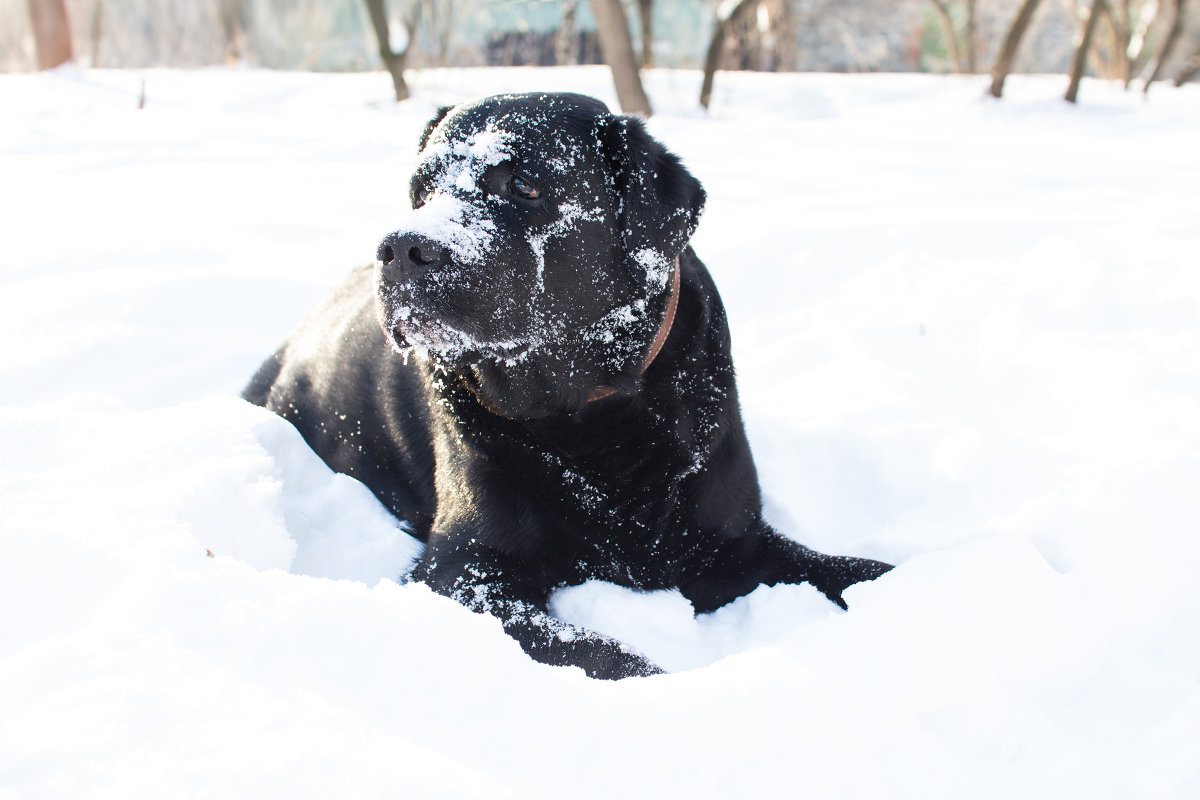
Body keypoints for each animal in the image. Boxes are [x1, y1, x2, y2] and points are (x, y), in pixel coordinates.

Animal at [241, 95, 892, 681]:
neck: (587, 417)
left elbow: (848, 567)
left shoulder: (730, 542)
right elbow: (604, 656)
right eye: (420, 192)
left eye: (524, 184)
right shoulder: (465, 570)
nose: (402, 246)